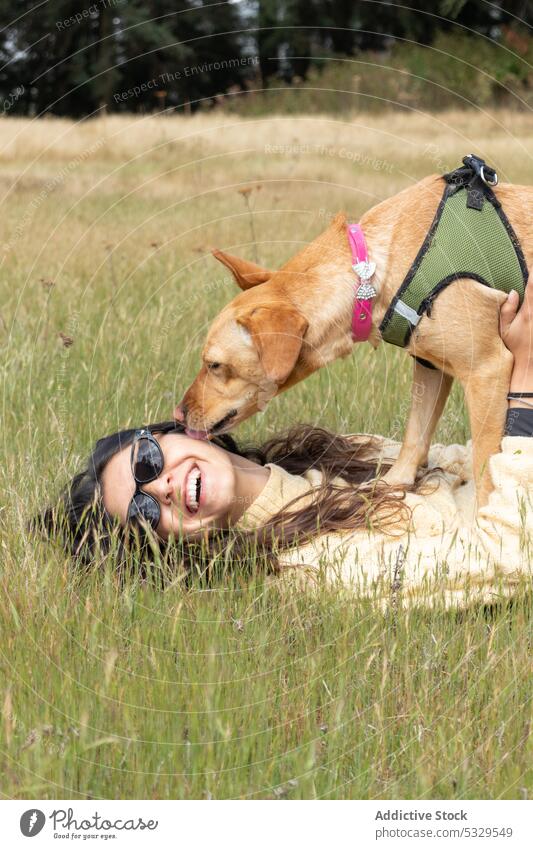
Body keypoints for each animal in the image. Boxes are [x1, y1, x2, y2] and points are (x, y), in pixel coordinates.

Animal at [176, 173, 532, 504]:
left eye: (214, 365)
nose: (178, 414)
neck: (371, 270)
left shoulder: (486, 370)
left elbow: (486, 475)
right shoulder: (430, 366)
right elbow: (415, 433)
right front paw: (393, 484)